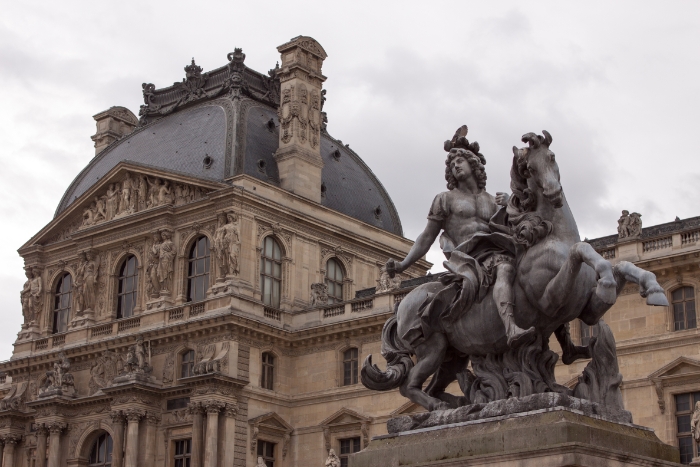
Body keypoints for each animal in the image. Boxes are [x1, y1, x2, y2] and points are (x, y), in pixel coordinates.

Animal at [360, 130, 668, 412]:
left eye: (552, 157)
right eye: (529, 168)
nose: (554, 193)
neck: (552, 237)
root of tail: (402, 305)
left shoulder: (587, 310)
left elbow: (621, 265)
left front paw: (652, 289)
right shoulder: (550, 299)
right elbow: (582, 251)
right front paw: (606, 283)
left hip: (452, 354)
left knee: (434, 384)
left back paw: (457, 402)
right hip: (431, 347)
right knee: (409, 385)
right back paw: (440, 407)